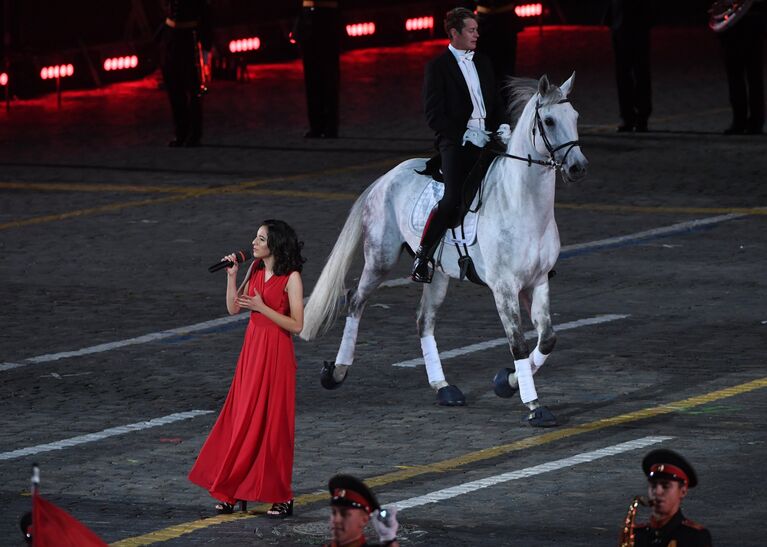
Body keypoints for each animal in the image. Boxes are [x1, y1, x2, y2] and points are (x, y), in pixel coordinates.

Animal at [300, 75, 588, 428]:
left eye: (574, 116)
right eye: (548, 121)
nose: (578, 167)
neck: (522, 204)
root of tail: (385, 178)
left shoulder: (538, 280)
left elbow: (547, 338)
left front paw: (506, 382)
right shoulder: (504, 287)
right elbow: (518, 344)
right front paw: (534, 405)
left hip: (436, 272)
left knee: (424, 320)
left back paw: (444, 388)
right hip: (380, 258)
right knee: (356, 301)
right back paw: (336, 373)